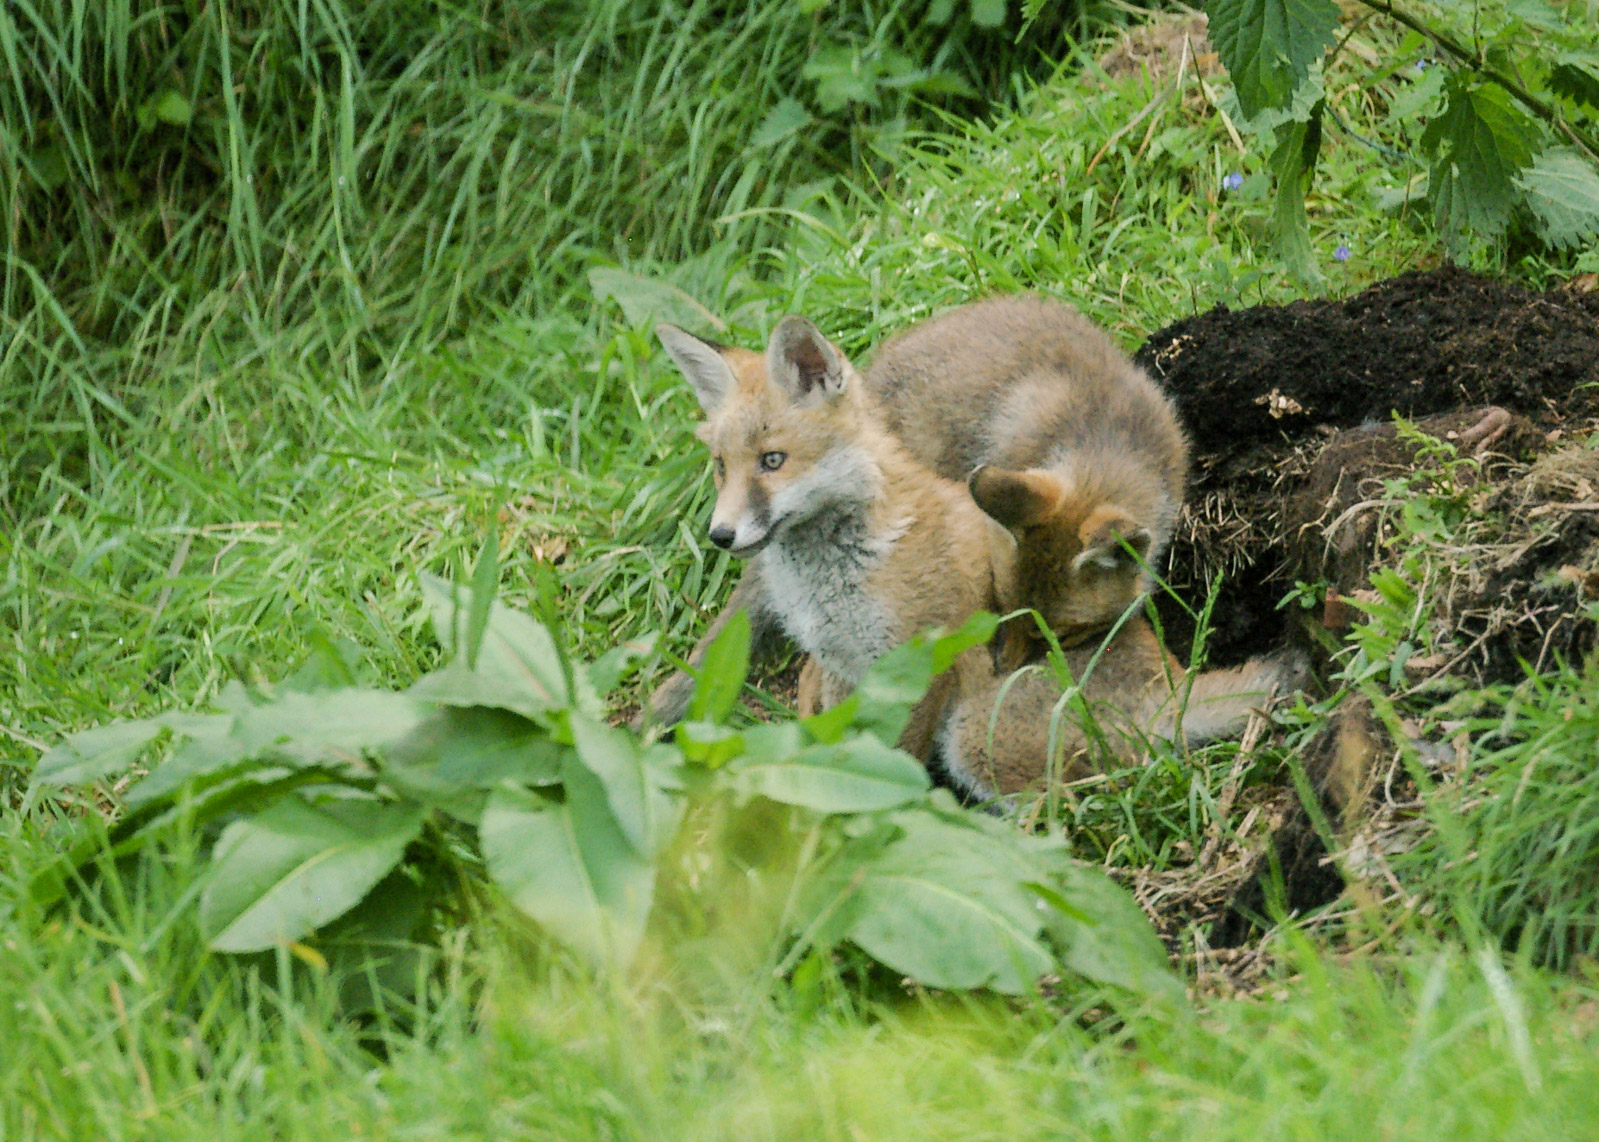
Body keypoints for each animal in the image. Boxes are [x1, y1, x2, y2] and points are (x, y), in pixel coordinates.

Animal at [636, 314, 1010, 753]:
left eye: (773, 460)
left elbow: (897, 753)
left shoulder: (919, 663)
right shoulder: (842, 665)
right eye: (721, 466)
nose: (720, 535)